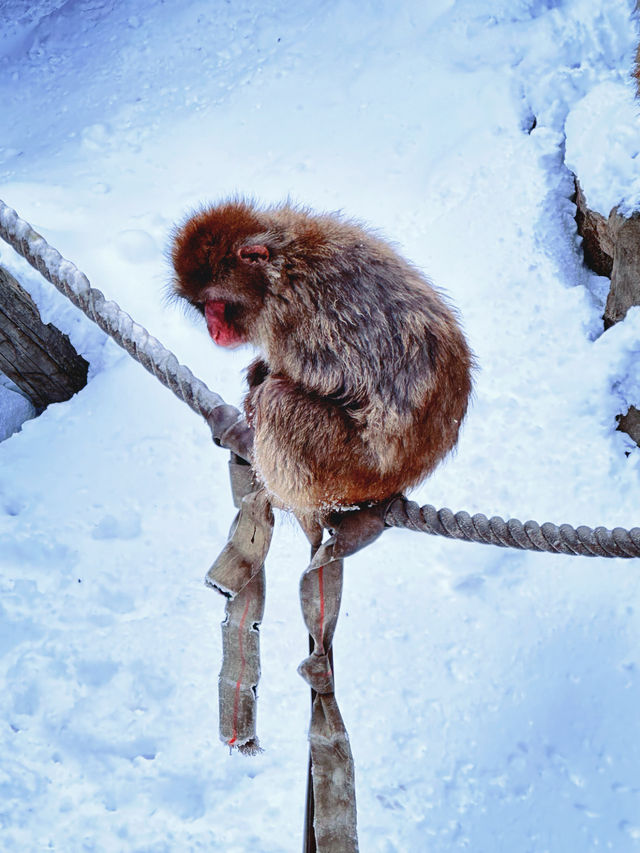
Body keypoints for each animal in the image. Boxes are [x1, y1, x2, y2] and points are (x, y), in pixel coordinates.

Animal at [172, 201, 472, 512]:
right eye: (201, 306)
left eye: (218, 304)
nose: (214, 331)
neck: (282, 265)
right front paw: (257, 372)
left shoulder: (291, 319)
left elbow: (336, 380)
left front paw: (255, 399)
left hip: (349, 472)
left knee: (277, 397)